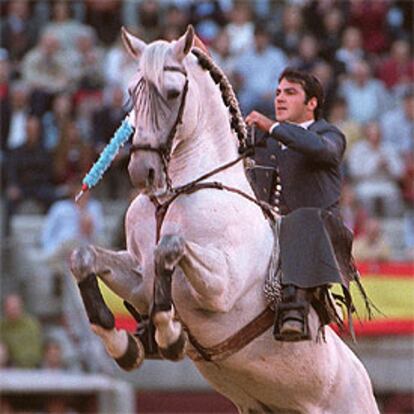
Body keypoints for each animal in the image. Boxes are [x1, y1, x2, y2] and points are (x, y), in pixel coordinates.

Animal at [70, 26, 378, 414]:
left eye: (173, 92)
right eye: (131, 92)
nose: (143, 171)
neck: (179, 190)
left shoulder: (222, 286)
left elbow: (170, 247)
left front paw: (169, 335)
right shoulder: (138, 277)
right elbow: (84, 257)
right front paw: (125, 345)